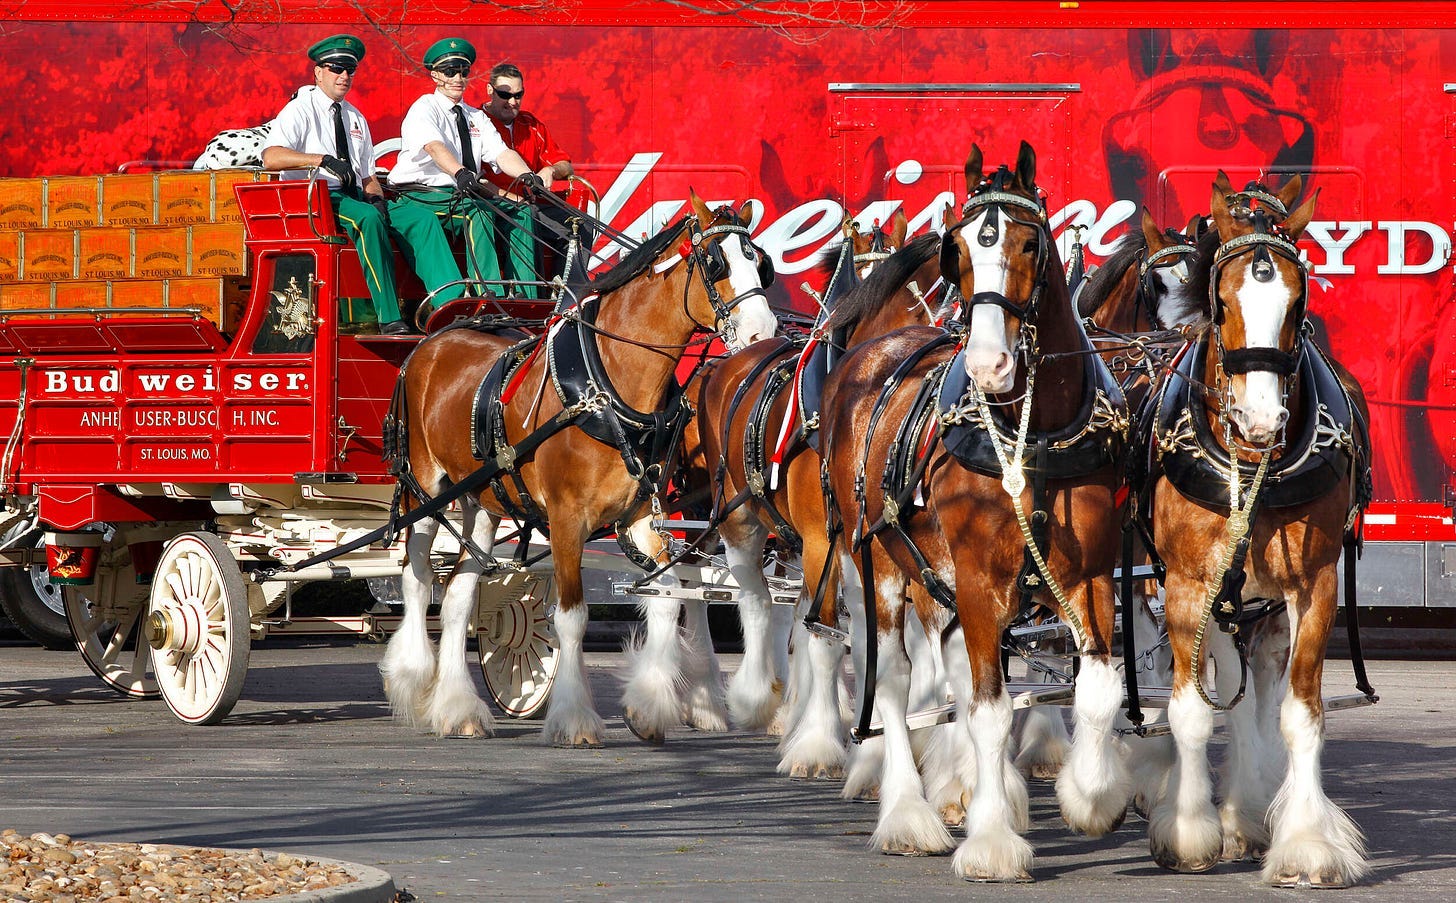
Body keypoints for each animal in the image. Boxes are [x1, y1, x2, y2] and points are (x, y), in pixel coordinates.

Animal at [381, 192, 780, 745]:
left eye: (760, 262)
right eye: (716, 262)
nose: (766, 333)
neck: (605, 386)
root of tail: (431, 342)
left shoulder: (641, 515)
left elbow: (667, 596)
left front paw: (648, 707)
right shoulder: (566, 519)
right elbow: (571, 618)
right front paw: (574, 718)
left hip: (481, 501)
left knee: (459, 595)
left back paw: (458, 708)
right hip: (425, 491)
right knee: (418, 580)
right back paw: (413, 678)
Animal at [827, 142, 1129, 873]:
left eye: (1029, 242)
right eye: (957, 250)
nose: (990, 364)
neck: (1033, 433)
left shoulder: (1090, 575)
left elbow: (1096, 687)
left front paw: (1090, 792)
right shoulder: (978, 577)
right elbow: (988, 710)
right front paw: (991, 841)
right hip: (881, 564)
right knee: (897, 683)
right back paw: (908, 812)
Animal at [1135, 174, 1374, 879]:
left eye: (1299, 302)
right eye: (1222, 301)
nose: (1262, 418)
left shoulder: (1314, 583)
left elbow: (1300, 711)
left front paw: (1308, 842)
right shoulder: (1188, 582)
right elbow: (1190, 712)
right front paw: (1188, 831)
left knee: (1257, 681)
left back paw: (1249, 809)